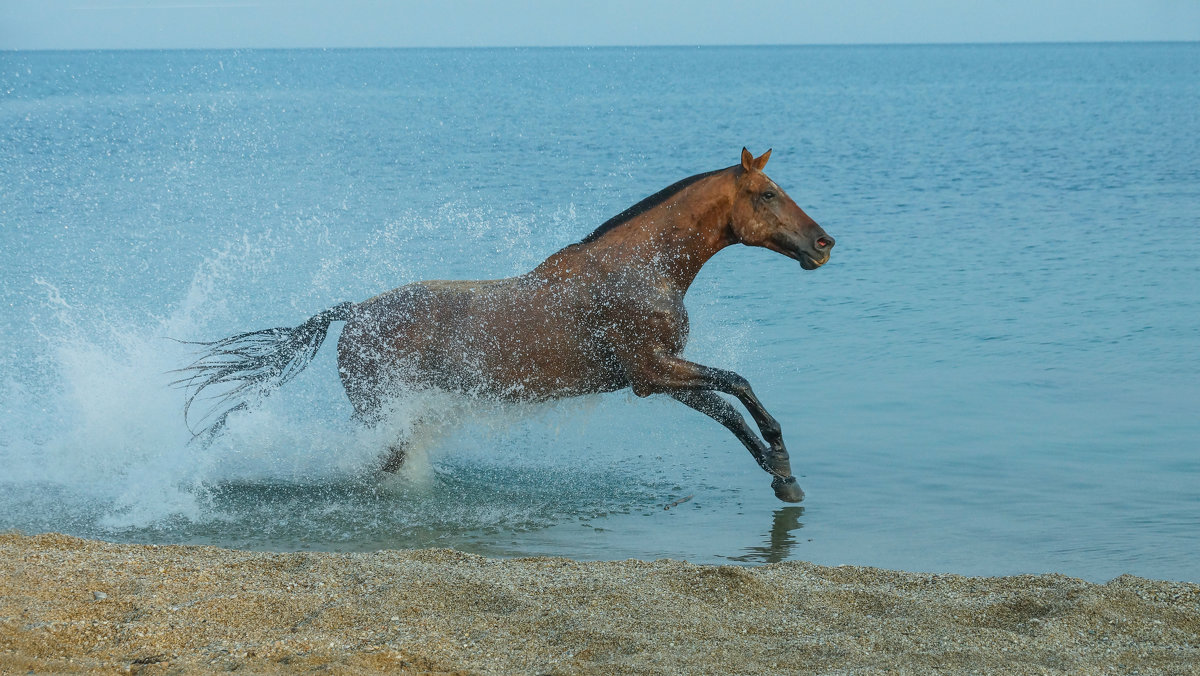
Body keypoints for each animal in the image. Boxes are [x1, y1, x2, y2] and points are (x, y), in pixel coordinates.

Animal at [175, 149, 835, 501]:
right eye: (768, 194)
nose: (824, 244)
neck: (640, 270)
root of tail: (355, 312)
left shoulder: (657, 379)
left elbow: (728, 411)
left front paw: (782, 478)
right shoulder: (654, 369)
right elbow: (740, 386)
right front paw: (782, 459)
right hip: (380, 410)